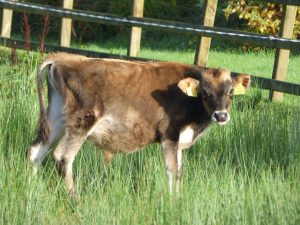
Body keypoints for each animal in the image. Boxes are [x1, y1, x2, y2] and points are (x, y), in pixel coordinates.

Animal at [28, 52, 250, 193]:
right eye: (204, 92)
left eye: (231, 92)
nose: (221, 116)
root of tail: (65, 58)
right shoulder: (169, 134)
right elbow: (171, 171)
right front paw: (171, 202)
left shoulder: (179, 140)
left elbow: (179, 172)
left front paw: (178, 199)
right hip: (82, 120)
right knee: (63, 157)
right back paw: (74, 198)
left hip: (56, 117)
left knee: (36, 151)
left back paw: (33, 188)